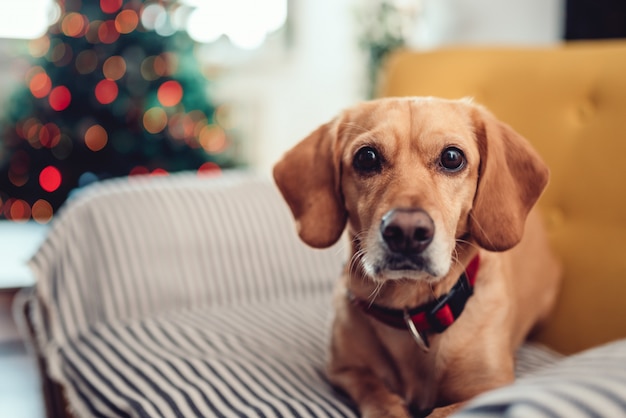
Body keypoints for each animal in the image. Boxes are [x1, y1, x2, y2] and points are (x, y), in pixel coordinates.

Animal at [270, 97, 560, 414]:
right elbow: (378, 396)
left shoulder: (489, 388)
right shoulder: (346, 371)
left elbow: (442, 412)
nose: (407, 232)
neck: (409, 309)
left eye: (452, 157)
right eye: (367, 157)